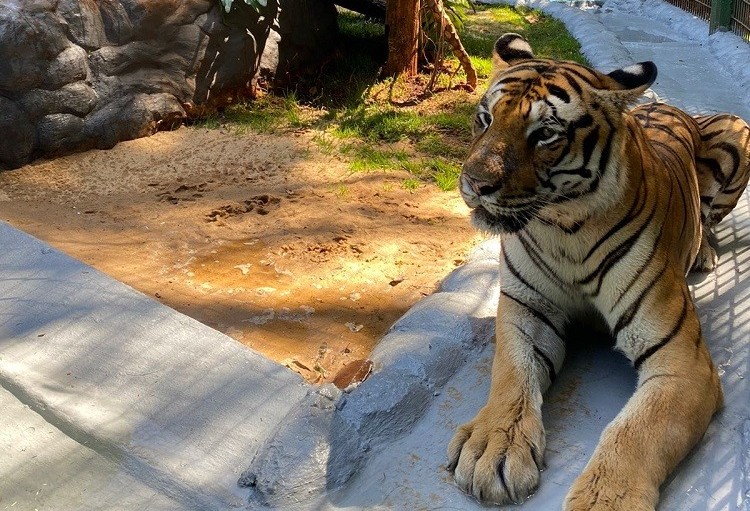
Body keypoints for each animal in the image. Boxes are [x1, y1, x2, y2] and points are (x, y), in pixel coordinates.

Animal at [446, 34, 750, 510]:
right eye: (485, 119)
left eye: (545, 134)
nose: (474, 184)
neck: (564, 227)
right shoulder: (527, 310)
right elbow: (512, 375)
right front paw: (492, 448)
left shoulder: (682, 361)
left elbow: (636, 431)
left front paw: (606, 499)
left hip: (735, 131)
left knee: (710, 219)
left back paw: (704, 253)